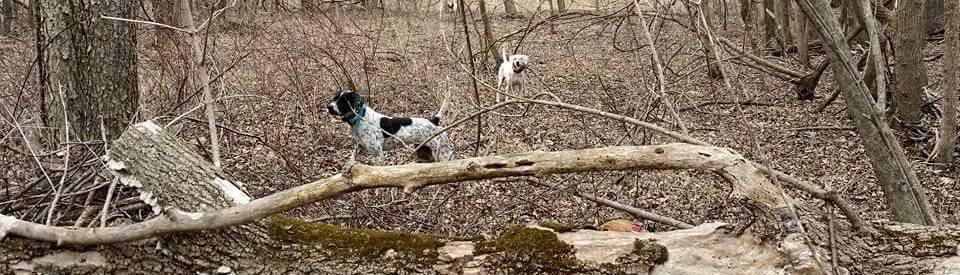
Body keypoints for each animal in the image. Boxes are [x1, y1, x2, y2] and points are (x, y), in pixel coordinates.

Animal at [326, 90, 454, 166]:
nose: (328, 107)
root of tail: (433, 120)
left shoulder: (377, 155)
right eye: (335, 98)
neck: (360, 118)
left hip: (444, 153)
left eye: (343, 101)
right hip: (423, 152)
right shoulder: (360, 147)